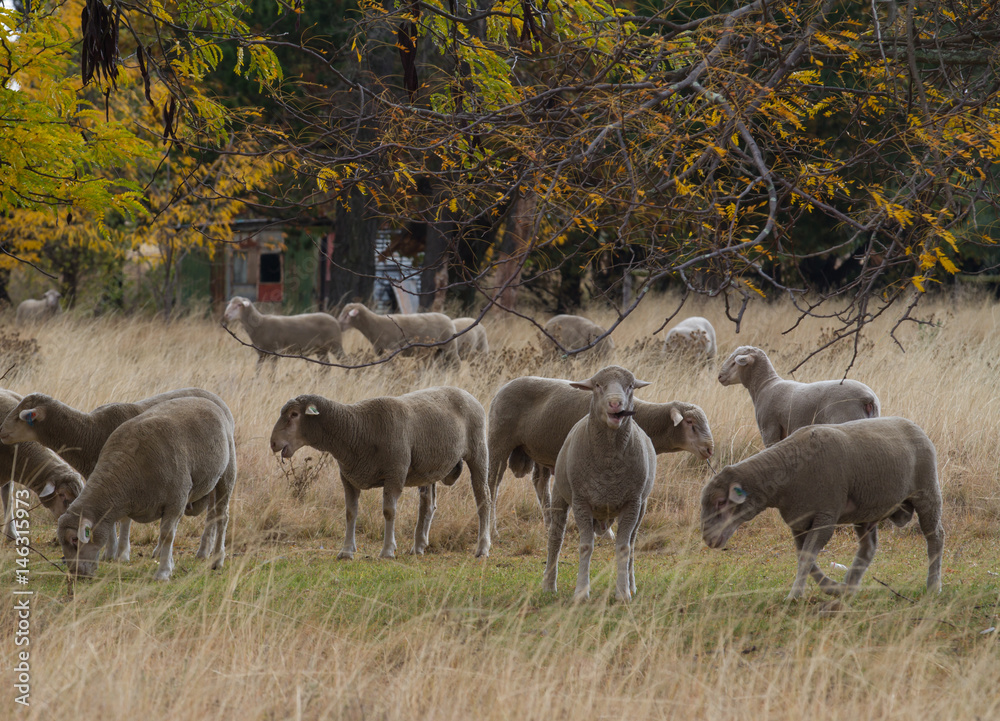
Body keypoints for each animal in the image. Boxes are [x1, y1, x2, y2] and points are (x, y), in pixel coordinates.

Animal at [57, 397, 237, 581]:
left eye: (74, 540)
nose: (75, 574)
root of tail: (206, 400)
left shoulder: (176, 499)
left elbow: (167, 535)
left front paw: (163, 573)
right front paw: (168, 565)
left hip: (227, 473)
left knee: (222, 517)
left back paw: (217, 560)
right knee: (213, 515)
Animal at [269, 387, 491, 559]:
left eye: (294, 414)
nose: (273, 443)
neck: (356, 429)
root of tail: (465, 392)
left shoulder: (395, 474)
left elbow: (389, 512)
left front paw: (387, 551)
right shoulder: (348, 478)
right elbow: (350, 513)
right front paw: (346, 551)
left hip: (478, 451)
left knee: (484, 499)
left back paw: (482, 548)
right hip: (428, 467)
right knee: (427, 505)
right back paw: (418, 546)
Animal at [487, 375, 713, 534]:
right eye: (690, 423)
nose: (710, 448)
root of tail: (501, 390)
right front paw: (606, 532)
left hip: (541, 449)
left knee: (540, 484)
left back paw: (549, 524)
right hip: (499, 440)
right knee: (493, 483)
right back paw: (493, 529)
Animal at [541, 366, 657, 602]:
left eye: (630, 386)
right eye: (597, 385)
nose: (615, 404)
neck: (608, 468)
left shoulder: (633, 502)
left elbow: (623, 548)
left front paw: (623, 593)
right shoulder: (581, 501)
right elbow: (586, 546)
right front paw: (581, 592)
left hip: (642, 506)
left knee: (632, 543)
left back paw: (632, 584)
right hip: (559, 495)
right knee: (555, 538)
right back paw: (549, 585)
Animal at [700, 416, 944, 600]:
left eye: (721, 502)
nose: (708, 539)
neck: (787, 472)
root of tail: (913, 425)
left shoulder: (825, 515)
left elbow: (807, 558)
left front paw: (794, 596)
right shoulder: (798, 520)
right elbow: (806, 558)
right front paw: (832, 587)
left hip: (927, 491)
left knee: (935, 537)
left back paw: (933, 586)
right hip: (866, 510)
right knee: (868, 548)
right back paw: (849, 587)